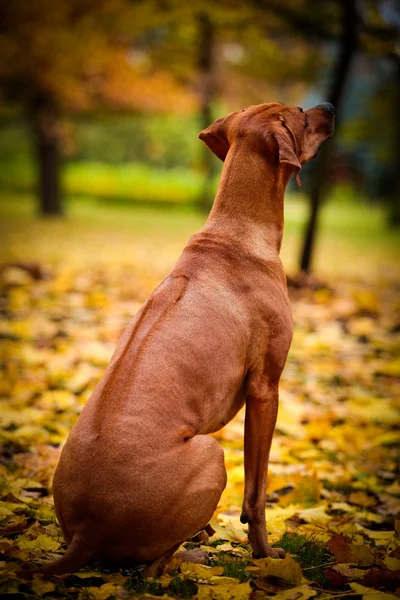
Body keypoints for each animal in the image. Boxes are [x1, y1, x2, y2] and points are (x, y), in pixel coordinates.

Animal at [21, 102, 334, 576]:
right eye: (301, 112)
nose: (329, 107)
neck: (233, 234)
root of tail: (85, 532)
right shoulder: (266, 387)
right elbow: (256, 494)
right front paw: (265, 557)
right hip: (210, 454)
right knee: (152, 570)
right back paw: (195, 552)